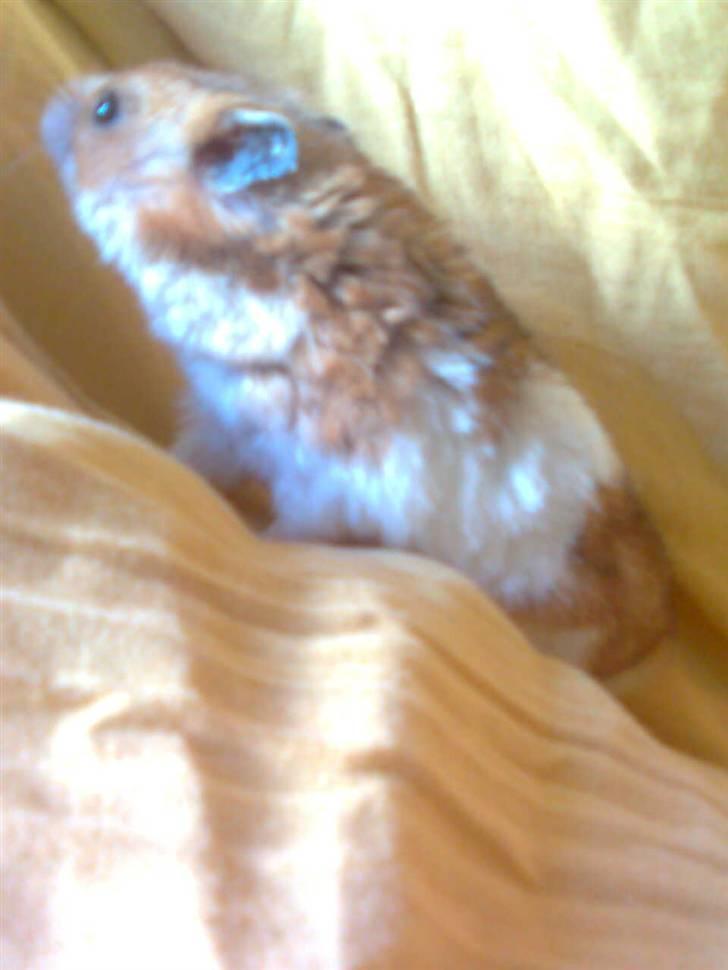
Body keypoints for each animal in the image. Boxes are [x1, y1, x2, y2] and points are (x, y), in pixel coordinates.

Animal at [41, 61, 672, 675]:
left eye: (106, 109)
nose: (50, 103)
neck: (260, 251)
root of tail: (652, 630)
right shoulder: (224, 416)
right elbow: (192, 458)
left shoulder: (315, 486)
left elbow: (278, 527)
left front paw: (252, 532)